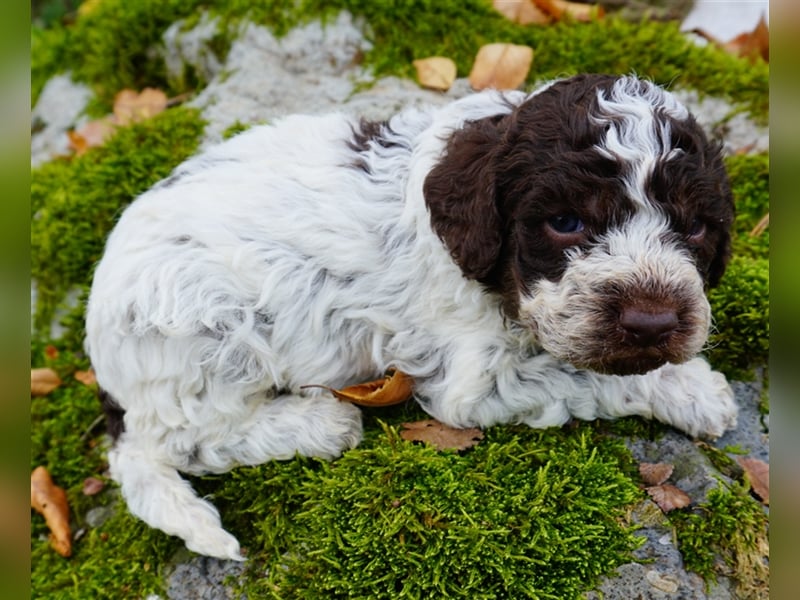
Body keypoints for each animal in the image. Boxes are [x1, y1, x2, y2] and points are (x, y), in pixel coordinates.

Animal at [86, 74, 736, 556]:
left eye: (695, 227)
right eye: (566, 222)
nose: (652, 324)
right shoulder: (475, 383)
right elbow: (593, 377)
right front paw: (695, 390)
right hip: (210, 337)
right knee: (182, 441)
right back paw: (319, 423)